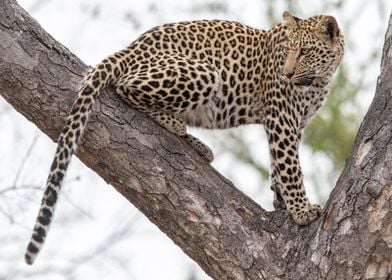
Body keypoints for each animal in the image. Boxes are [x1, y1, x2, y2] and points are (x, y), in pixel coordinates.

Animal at [23, 11, 344, 264]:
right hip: (206, 73)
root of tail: (132, 48)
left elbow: (279, 164)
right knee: (124, 86)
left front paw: (282, 202)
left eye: (305, 52)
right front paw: (302, 210)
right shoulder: (281, 116)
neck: (320, 79)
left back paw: (198, 146)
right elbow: (290, 166)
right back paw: (177, 125)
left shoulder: (296, 123)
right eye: (288, 51)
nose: (286, 73)